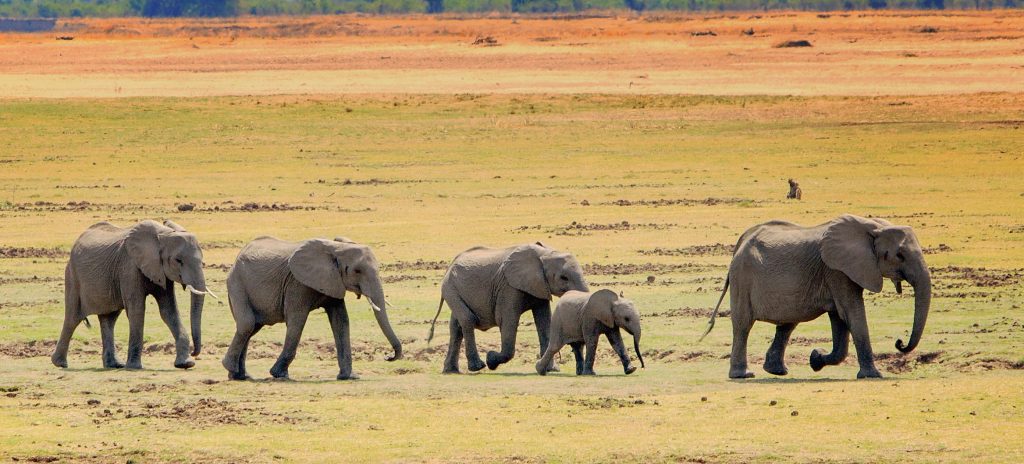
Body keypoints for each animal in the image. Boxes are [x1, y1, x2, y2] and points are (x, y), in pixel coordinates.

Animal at [52, 220, 215, 370]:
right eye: (178, 260)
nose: (194, 352)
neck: (163, 234)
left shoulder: (161, 271)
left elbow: (169, 311)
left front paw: (185, 364)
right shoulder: (129, 266)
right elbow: (136, 310)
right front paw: (134, 367)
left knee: (109, 319)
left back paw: (114, 365)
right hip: (72, 275)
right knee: (73, 318)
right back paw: (60, 363)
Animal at [222, 236, 402, 381]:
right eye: (357, 271)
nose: (388, 357)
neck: (336, 248)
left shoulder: (333, 281)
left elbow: (341, 321)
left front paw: (349, 377)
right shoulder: (297, 283)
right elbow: (297, 320)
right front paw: (280, 375)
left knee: (251, 328)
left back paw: (240, 376)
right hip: (237, 283)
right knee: (247, 324)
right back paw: (232, 369)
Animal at [427, 242, 589, 374]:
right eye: (564, 278)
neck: (544, 254)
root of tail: (451, 264)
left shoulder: (539, 286)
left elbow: (544, 322)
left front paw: (552, 370)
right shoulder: (508, 287)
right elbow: (507, 320)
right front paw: (491, 359)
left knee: (456, 327)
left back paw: (451, 371)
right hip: (450, 288)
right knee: (467, 319)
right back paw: (478, 367)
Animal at [702, 214, 931, 379]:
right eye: (899, 256)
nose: (900, 343)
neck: (871, 226)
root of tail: (741, 241)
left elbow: (840, 318)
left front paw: (815, 359)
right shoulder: (837, 270)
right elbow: (851, 312)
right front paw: (873, 376)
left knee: (787, 323)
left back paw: (777, 371)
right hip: (742, 278)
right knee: (743, 325)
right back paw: (743, 375)